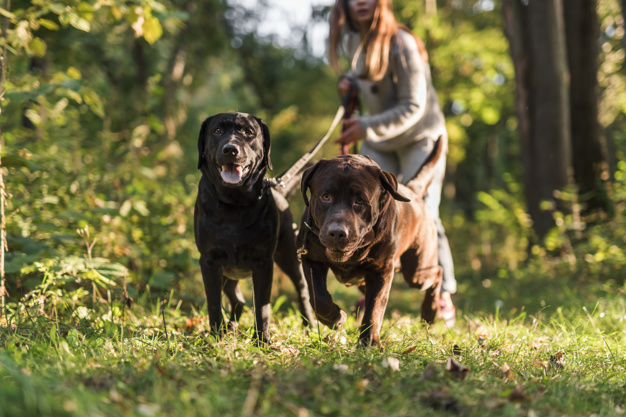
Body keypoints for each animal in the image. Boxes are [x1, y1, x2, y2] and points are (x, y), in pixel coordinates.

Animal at [194, 112, 312, 342]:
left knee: (302, 291)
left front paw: (262, 341)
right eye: (217, 131)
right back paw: (230, 327)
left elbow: (262, 308)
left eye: (248, 132)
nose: (230, 149)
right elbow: (213, 304)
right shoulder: (209, 261)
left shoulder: (264, 263)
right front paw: (215, 338)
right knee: (237, 299)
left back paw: (310, 325)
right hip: (228, 273)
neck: (233, 204)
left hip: (289, 256)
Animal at [294, 137, 442, 344]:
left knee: (437, 274)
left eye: (360, 200)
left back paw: (430, 313)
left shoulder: (381, 271)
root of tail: (413, 190)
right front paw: (336, 318)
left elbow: (375, 308)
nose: (337, 232)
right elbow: (318, 297)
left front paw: (369, 342)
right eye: (325, 196)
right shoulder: (310, 258)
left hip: (418, 270)